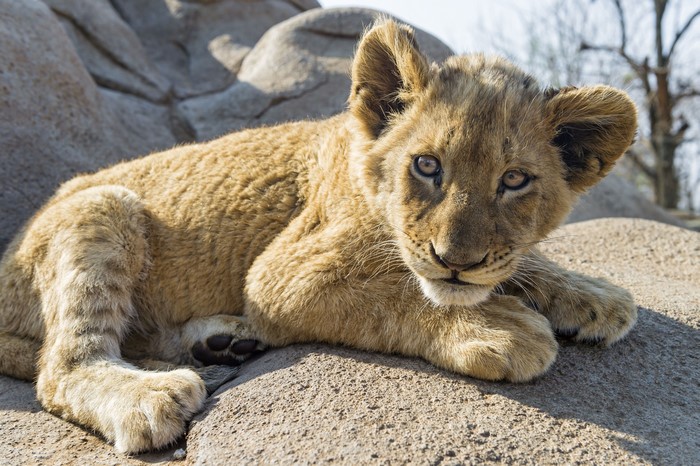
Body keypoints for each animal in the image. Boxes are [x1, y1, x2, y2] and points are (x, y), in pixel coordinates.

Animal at [0, 20, 638, 453]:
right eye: (427, 166)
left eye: (514, 180)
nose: (455, 260)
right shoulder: (280, 276)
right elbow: (396, 294)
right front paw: (499, 327)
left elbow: (524, 263)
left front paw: (593, 295)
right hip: (103, 207)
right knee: (60, 368)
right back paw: (151, 394)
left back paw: (222, 342)